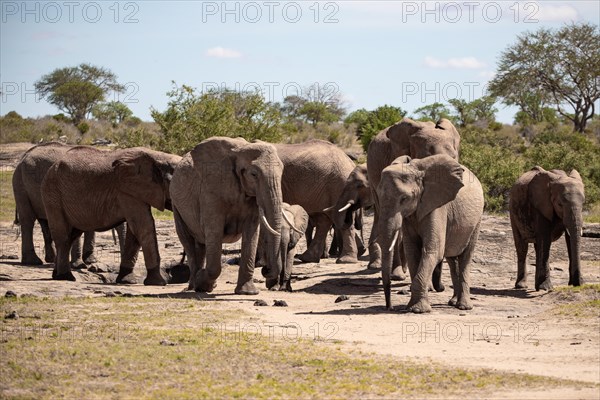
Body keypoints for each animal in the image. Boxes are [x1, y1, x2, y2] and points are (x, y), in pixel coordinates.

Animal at [41, 147, 179, 284]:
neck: (158, 157)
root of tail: (51, 168)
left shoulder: (135, 192)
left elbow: (134, 232)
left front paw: (127, 281)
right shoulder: (126, 191)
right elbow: (144, 227)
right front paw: (159, 282)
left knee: (71, 235)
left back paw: (57, 275)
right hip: (52, 195)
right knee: (63, 237)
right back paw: (66, 277)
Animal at [171, 136, 286, 296]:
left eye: (282, 172)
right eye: (254, 174)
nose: (265, 269)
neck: (240, 151)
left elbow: (251, 233)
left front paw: (248, 292)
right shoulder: (210, 190)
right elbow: (214, 230)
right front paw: (203, 284)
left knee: (201, 244)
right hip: (176, 205)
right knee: (188, 241)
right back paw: (195, 286)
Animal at [378, 155, 486, 314]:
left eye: (404, 199)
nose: (389, 307)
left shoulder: (437, 207)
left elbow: (433, 250)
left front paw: (418, 310)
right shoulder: (410, 215)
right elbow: (412, 251)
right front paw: (412, 307)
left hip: (477, 219)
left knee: (466, 255)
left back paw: (463, 306)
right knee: (452, 259)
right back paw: (453, 302)